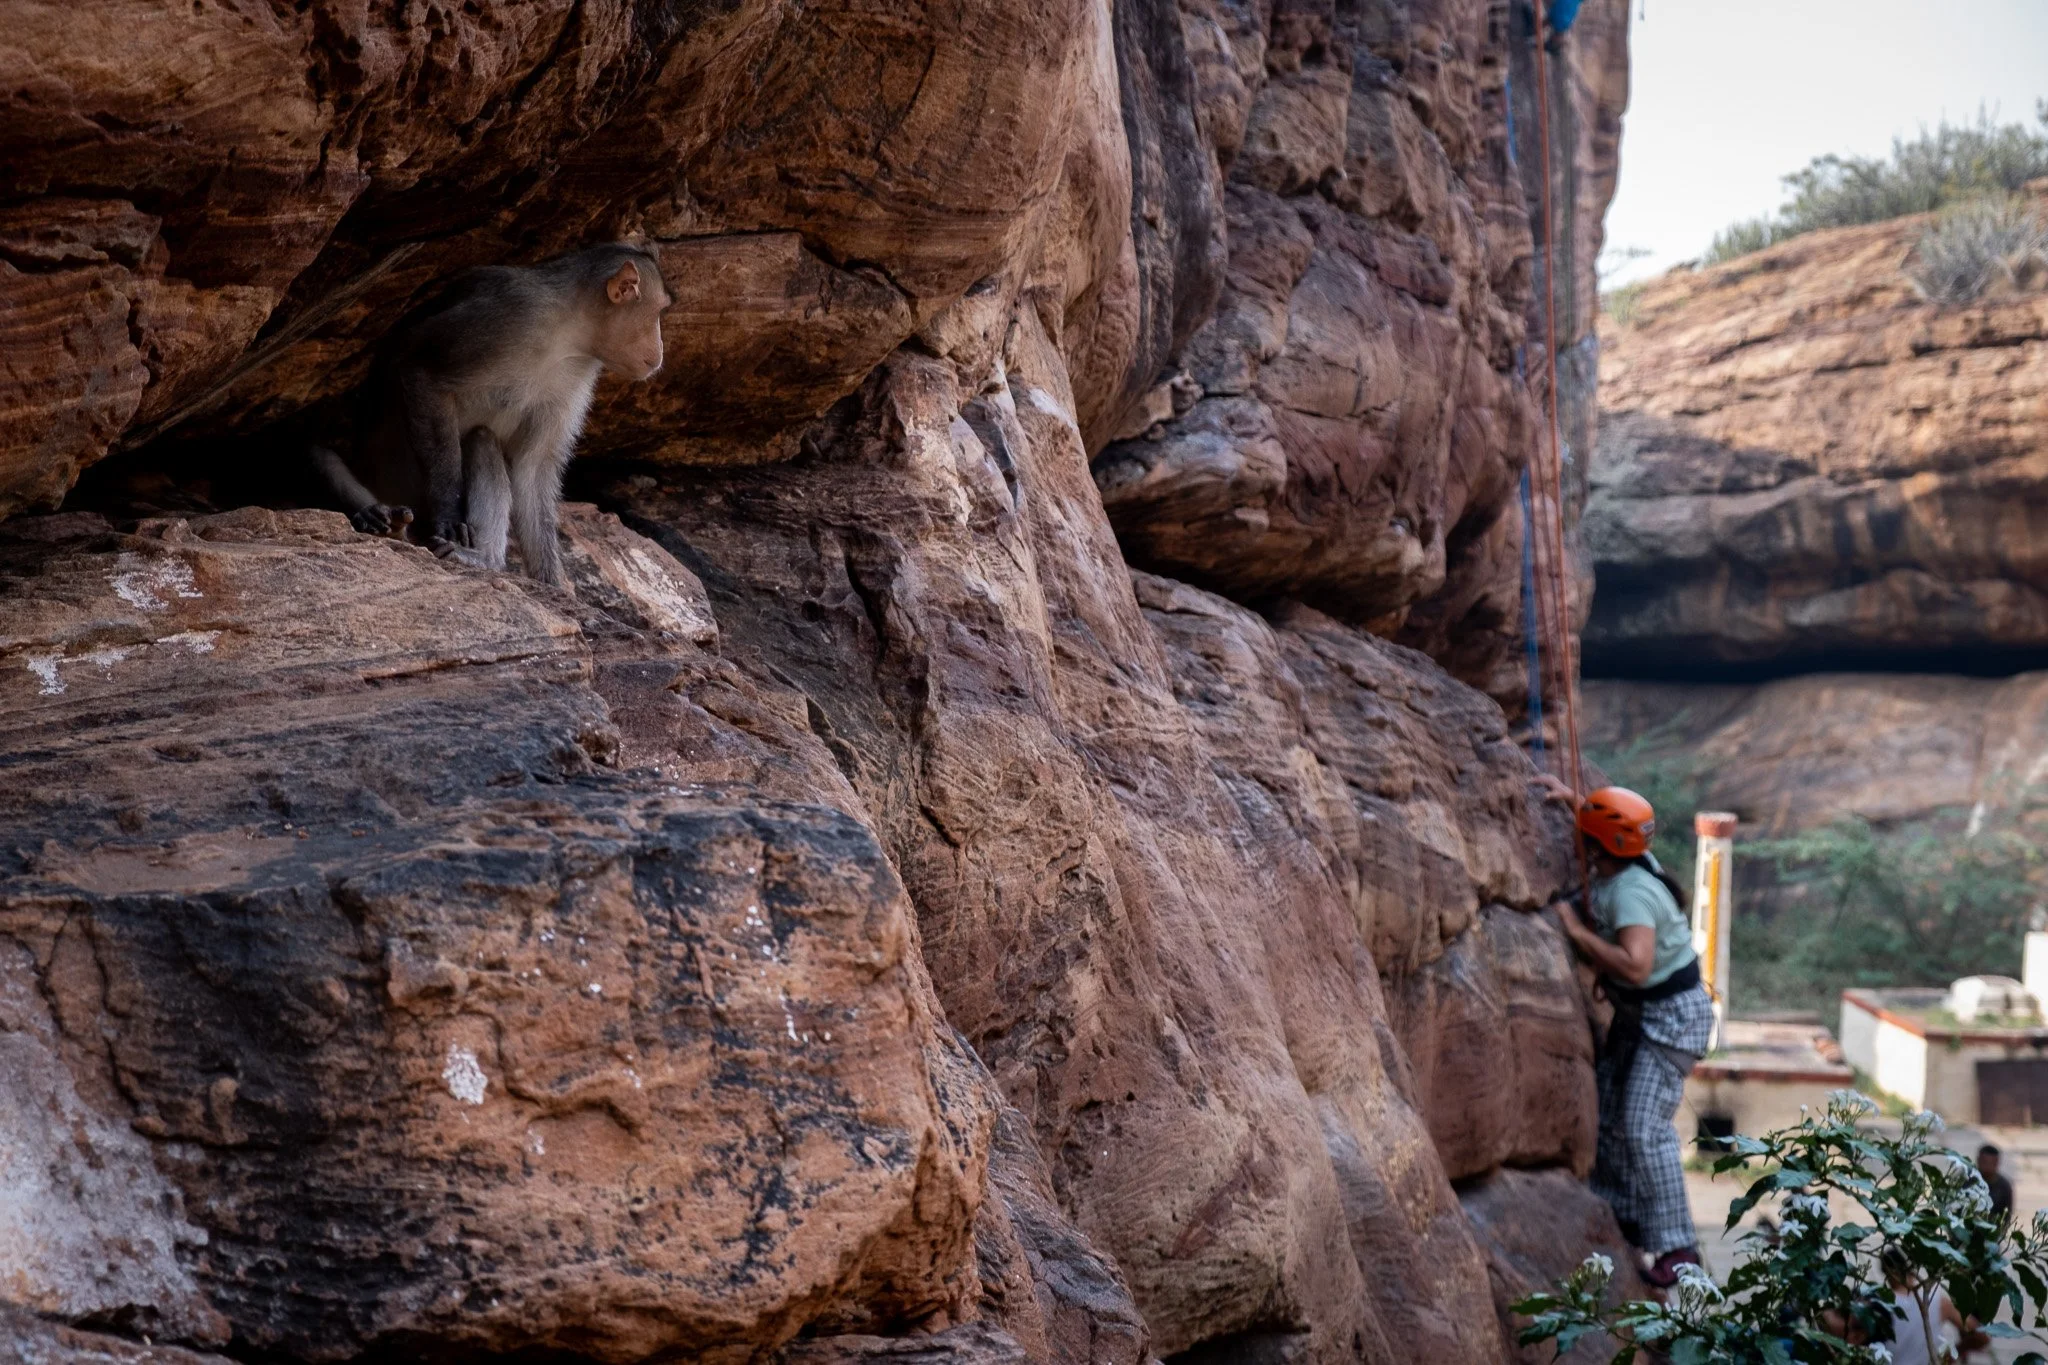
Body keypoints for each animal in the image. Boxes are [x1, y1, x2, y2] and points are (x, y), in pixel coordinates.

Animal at [311, 242, 672, 587]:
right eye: (656, 312)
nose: (660, 352)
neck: (569, 334)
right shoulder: (506, 319)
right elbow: (422, 374)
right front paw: (447, 513)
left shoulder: (575, 379)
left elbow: (533, 466)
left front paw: (550, 580)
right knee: (321, 456)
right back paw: (379, 517)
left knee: (481, 439)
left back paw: (481, 556)